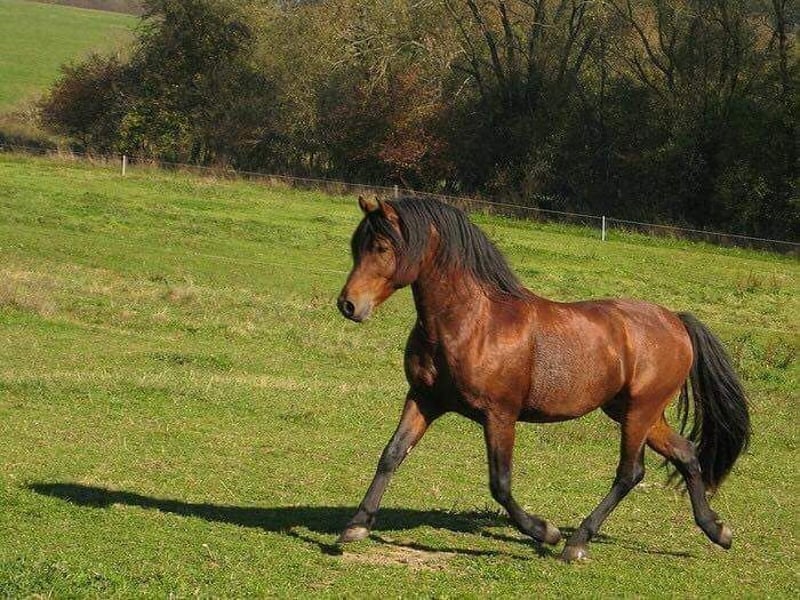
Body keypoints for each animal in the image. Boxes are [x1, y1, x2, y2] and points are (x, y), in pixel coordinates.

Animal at [335, 195, 750, 562]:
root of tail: (676, 320)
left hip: (640, 412)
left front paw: (545, 531)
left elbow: (500, 484)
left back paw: (576, 542)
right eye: (356, 244)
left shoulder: (499, 415)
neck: (473, 324)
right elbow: (391, 454)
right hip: (634, 412)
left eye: (382, 247)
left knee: (630, 472)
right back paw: (717, 530)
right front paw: (356, 526)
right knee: (686, 453)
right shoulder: (424, 399)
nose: (348, 305)